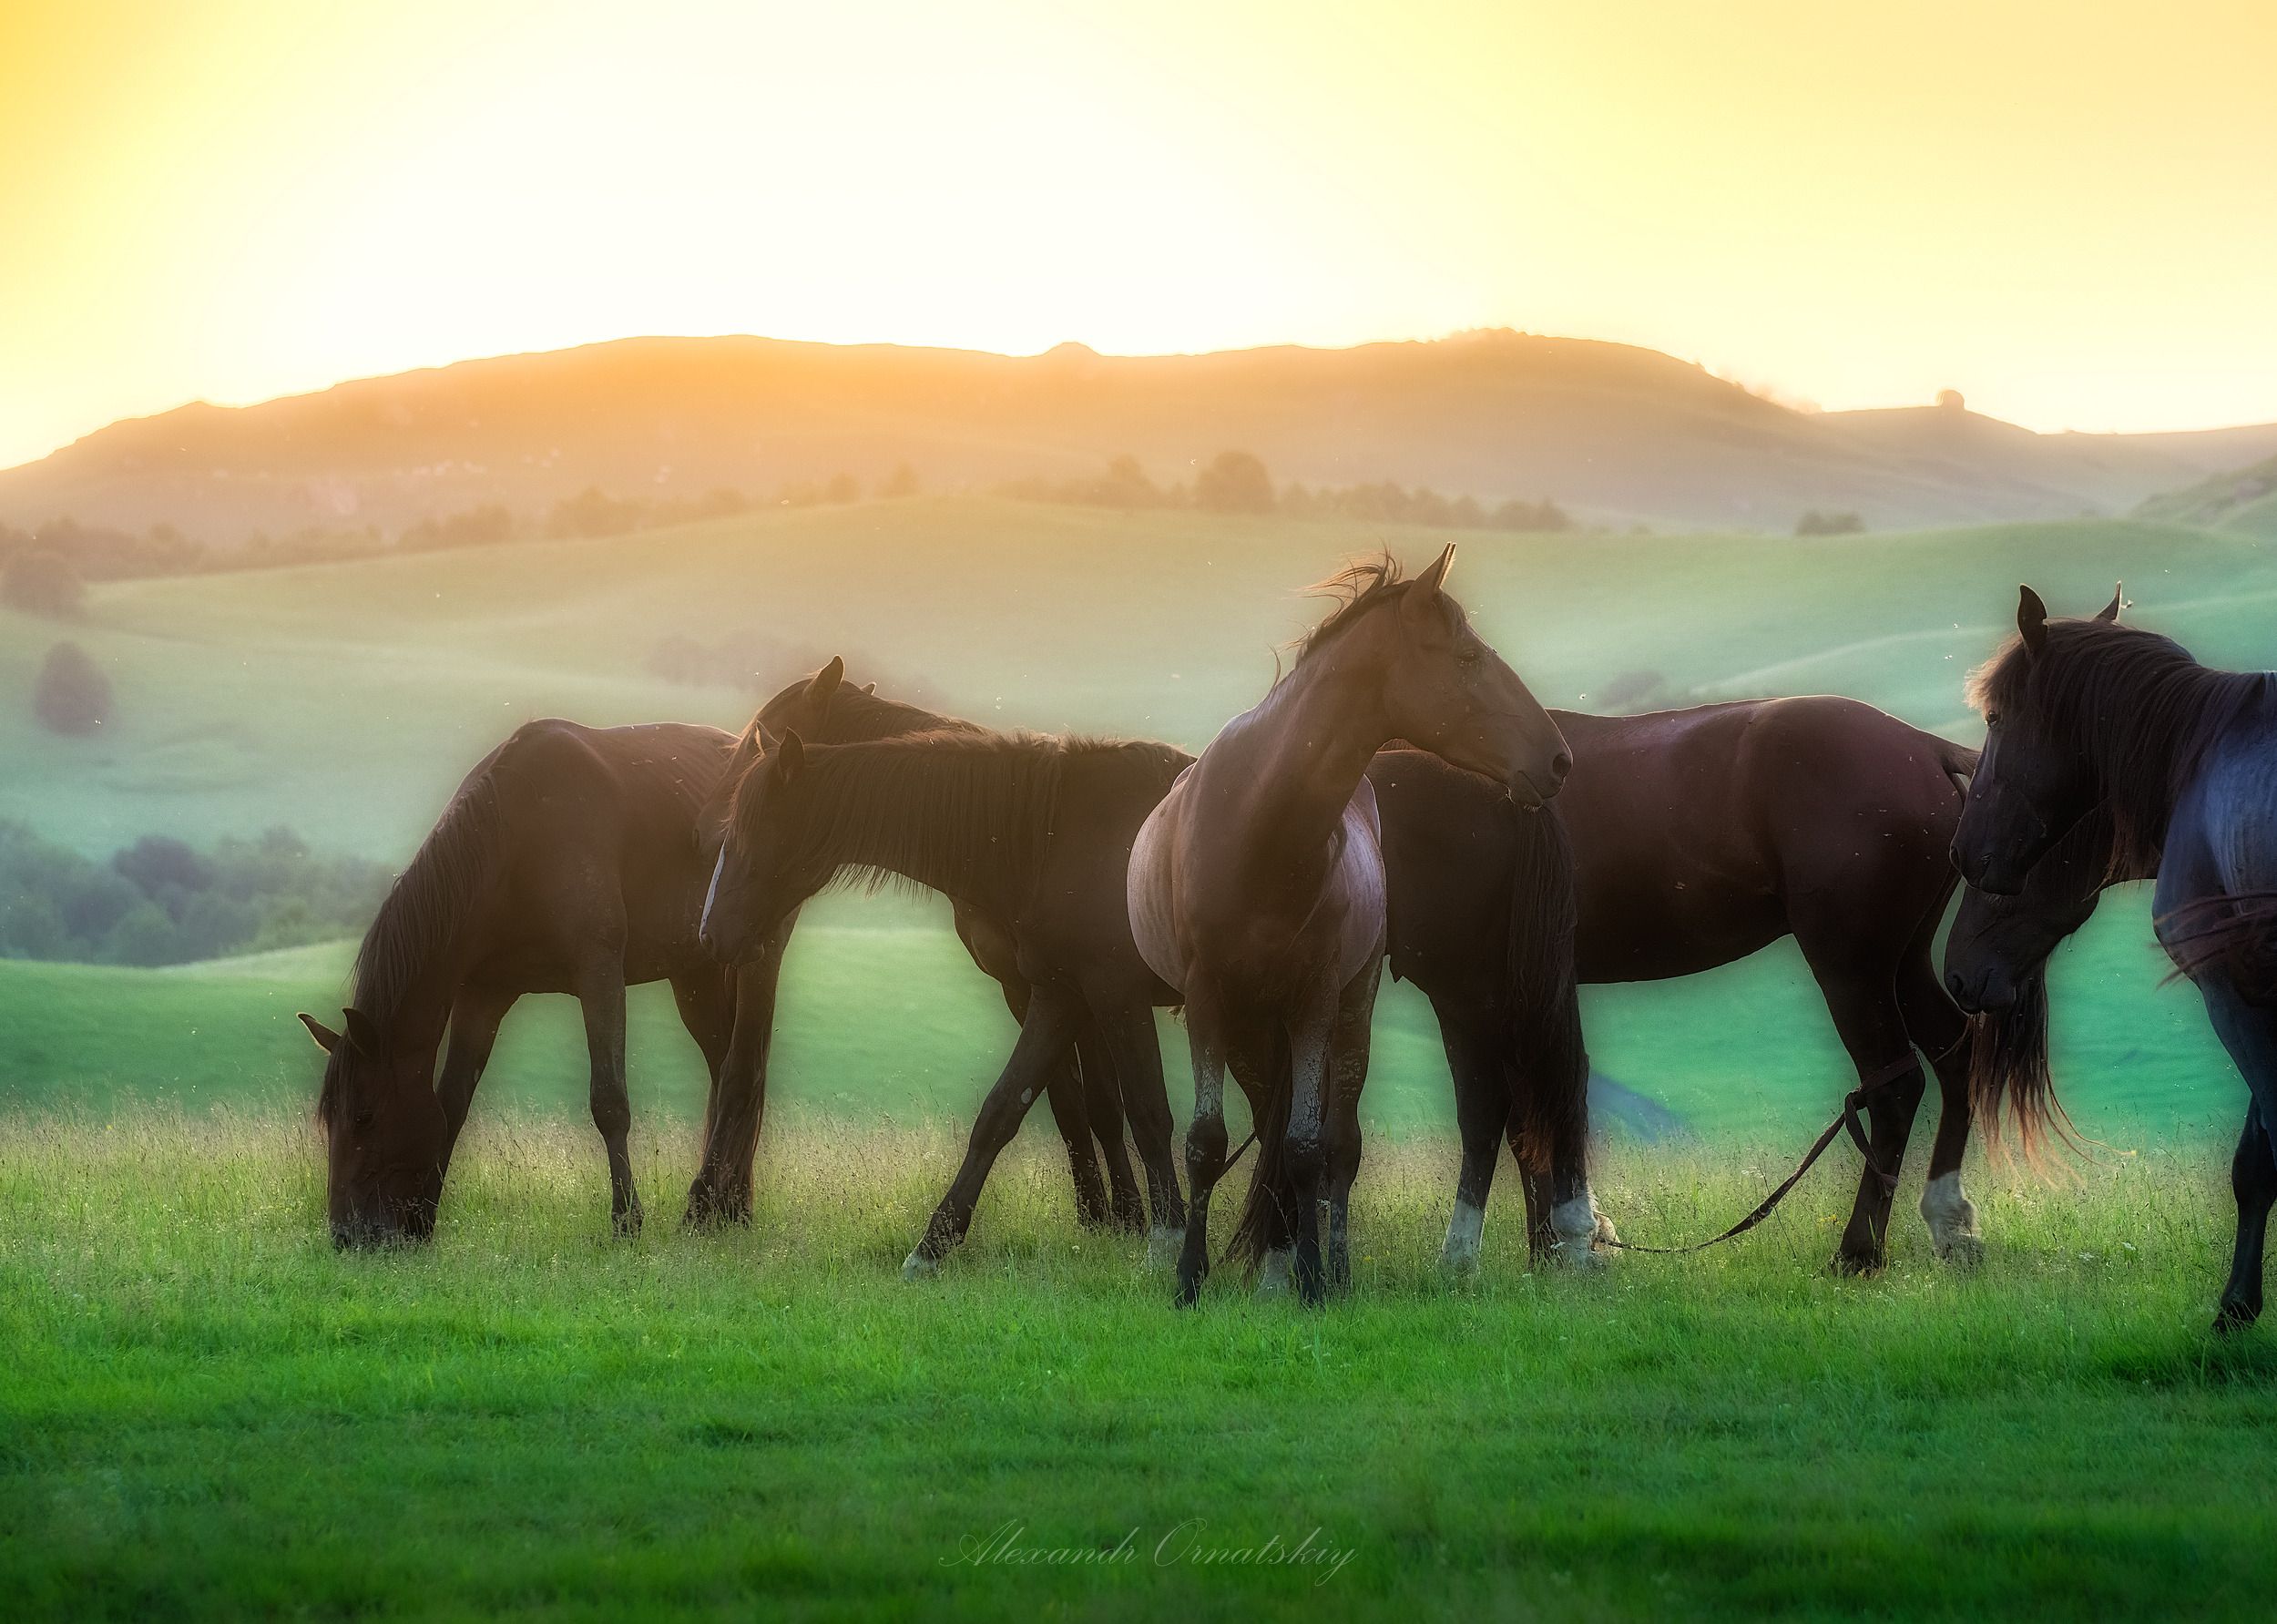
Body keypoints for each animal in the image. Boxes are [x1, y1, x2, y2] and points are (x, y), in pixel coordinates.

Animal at [692, 724, 1193, 1266]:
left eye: (751, 832)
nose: (710, 935)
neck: (1057, 834)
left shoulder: (1118, 996)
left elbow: (1148, 1112)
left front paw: (1169, 1236)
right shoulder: (1059, 998)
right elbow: (1001, 1111)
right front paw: (934, 1245)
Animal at [1120, 544, 1585, 1302]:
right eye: (1466, 655)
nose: (1557, 760)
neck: (1261, 826)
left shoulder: (1315, 997)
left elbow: (1312, 1146)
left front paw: (1314, 1278)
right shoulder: (1209, 999)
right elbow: (1207, 1142)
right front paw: (1191, 1278)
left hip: (1347, 1006)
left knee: (1337, 1141)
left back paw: (1326, 1266)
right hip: (1252, 1026)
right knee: (1268, 1127)